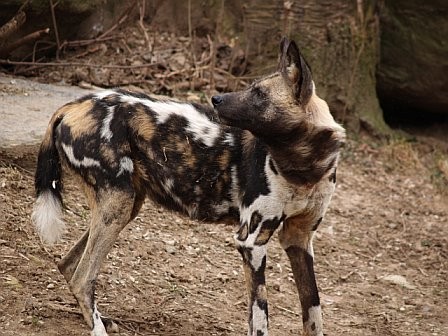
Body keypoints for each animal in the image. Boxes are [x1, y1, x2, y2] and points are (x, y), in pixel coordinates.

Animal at [32, 37, 346, 336]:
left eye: (259, 95)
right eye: (253, 89)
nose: (216, 98)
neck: (304, 166)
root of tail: (74, 104)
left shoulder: (299, 239)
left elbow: (313, 312)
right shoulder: (252, 242)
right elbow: (260, 317)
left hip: (125, 206)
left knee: (68, 265)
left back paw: (98, 319)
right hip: (118, 204)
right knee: (83, 275)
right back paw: (97, 327)